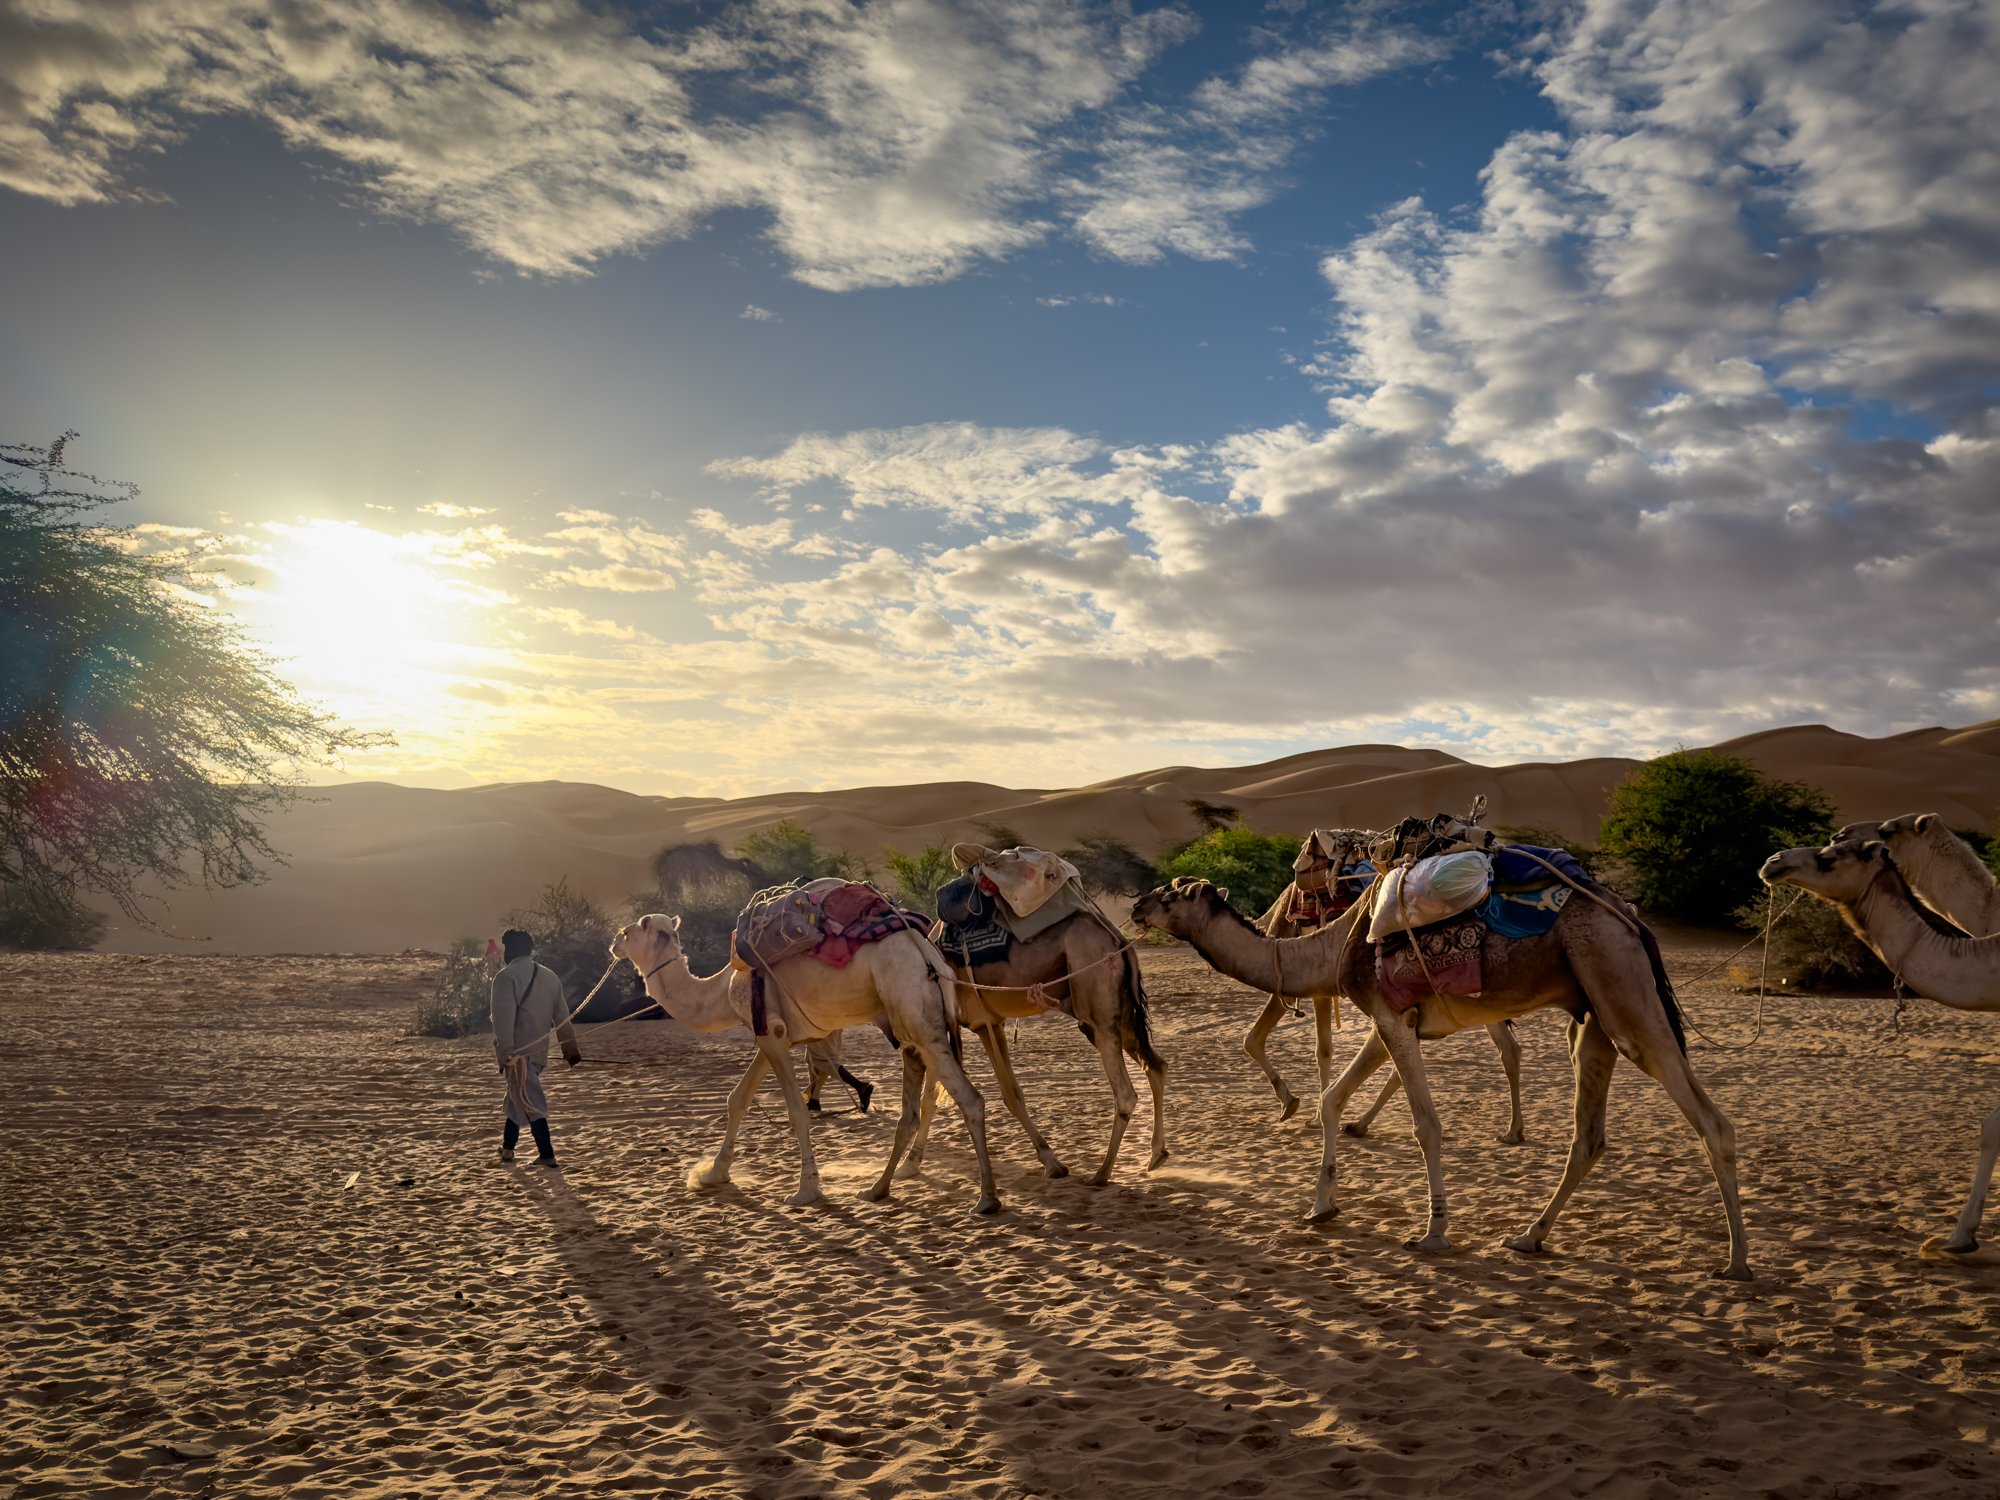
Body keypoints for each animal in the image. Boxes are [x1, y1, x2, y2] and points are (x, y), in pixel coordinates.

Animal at [611, 913, 1002, 1215]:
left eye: (631, 931)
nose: (614, 942)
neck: (719, 991)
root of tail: (926, 953)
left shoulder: (772, 1033)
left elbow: (796, 1111)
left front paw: (806, 1190)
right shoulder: (771, 1034)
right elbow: (737, 1099)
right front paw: (713, 1174)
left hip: (916, 1015)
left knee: (969, 1099)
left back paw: (987, 1198)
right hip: (918, 1024)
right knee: (920, 1106)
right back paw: (879, 1187)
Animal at [917, 911, 1168, 1184]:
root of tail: (1119, 940)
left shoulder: (952, 1024)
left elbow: (933, 1097)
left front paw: (907, 1164)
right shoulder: (987, 1024)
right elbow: (1010, 1096)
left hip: (1098, 1007)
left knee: (1125, 1093)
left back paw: (1101, 1174)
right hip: (1122, 1013)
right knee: (1156, 1066)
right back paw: (1156, 1155)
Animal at [1130, 876, 1752, 1278]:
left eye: (1169, 894)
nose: (1135, 906)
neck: (1332, 947)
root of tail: (1633, 921)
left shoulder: (1389, 1016)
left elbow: (1426, 1125)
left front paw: (1433, 1231)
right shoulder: (1391, 1018)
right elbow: (1330, 1100)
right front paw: (1321, 1206)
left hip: (1621, 992)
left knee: (1712, 1123)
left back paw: (1737, 1263)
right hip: (1593, 1018)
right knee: (1589, 1136)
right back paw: (1529, 1236)